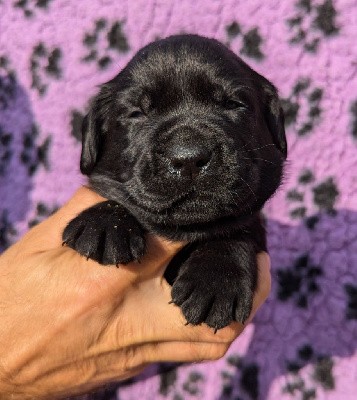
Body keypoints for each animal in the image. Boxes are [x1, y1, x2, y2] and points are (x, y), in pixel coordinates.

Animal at [62, 34, 286, 330]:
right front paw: (102, 224)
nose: (189, 158)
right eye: (137, 113)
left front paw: (216, 280)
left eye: (233, 104)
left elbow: (236, 228)